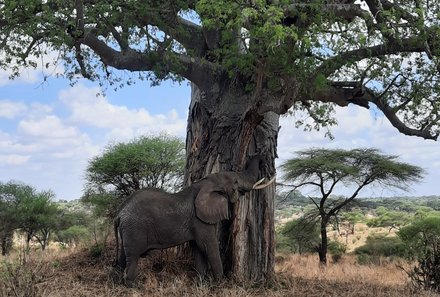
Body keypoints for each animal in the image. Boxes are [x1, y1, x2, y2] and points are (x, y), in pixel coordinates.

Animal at [111, 155, 274, 284]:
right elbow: (208, 246)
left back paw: (116, 281)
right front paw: (220, 284)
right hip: (134, 228)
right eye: (235, 182)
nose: (261, 158)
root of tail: (119, 214)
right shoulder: (199, 220)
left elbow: (198, 249)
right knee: (133, 256)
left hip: (128, 229)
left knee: (123, 255)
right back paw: (133, 286)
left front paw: (200, 283)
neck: (205, 184)